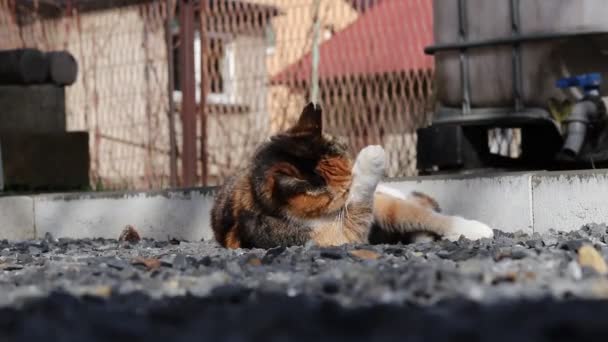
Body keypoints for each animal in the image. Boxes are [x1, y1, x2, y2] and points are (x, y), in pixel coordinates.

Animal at [210, 101, 494, 248]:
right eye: (343, 191)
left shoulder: (380, 204)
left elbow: (417, 214)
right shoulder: (337, 237)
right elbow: (357, 215)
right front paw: (372, 158)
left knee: (417, 208)